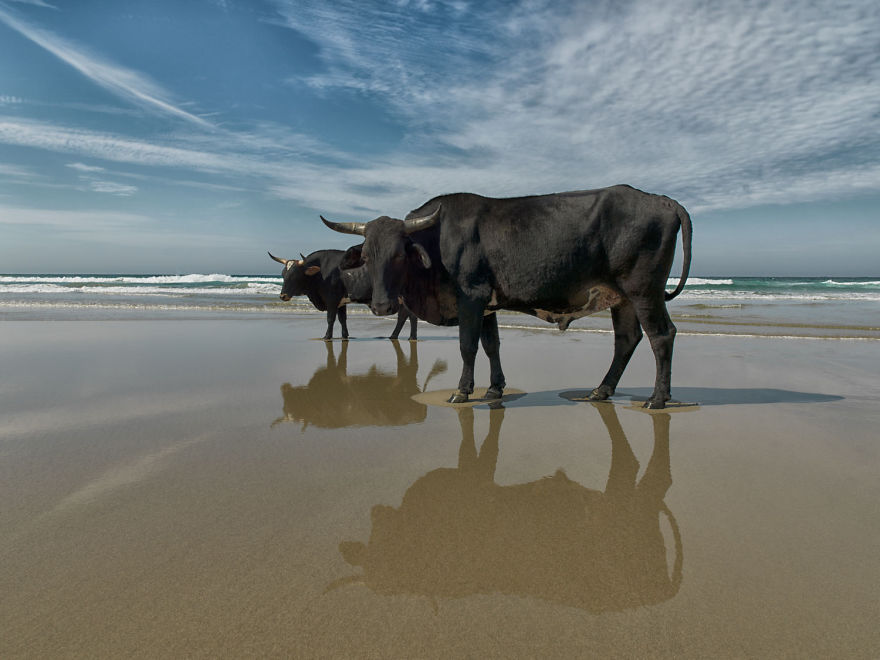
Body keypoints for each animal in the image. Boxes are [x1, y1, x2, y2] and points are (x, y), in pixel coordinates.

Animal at [268, 249, 418, 340]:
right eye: (283, 274)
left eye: (295, 275)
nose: (282, 296)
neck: (321, 273)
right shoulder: (341, 302)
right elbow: (342, 319)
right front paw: (345, 336)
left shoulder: (332, 300)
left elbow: (330, 319)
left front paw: (327, 337)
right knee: (405, 316)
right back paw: (396, 336)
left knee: (409, 316)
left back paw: (410, 337)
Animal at [320, 184, 692, 408]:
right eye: (367, 256)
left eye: (398, 255)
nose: (381, 305)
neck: (438, 240)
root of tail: (662, 200)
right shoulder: (488, 305)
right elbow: (491, 346)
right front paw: (495, 389)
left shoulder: (471, 297)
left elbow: (468, 346)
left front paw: (462, 390)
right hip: (622, 298)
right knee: (627, 340)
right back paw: (601, 390)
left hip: (643, 291)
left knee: (661, 335)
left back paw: (658, 398)